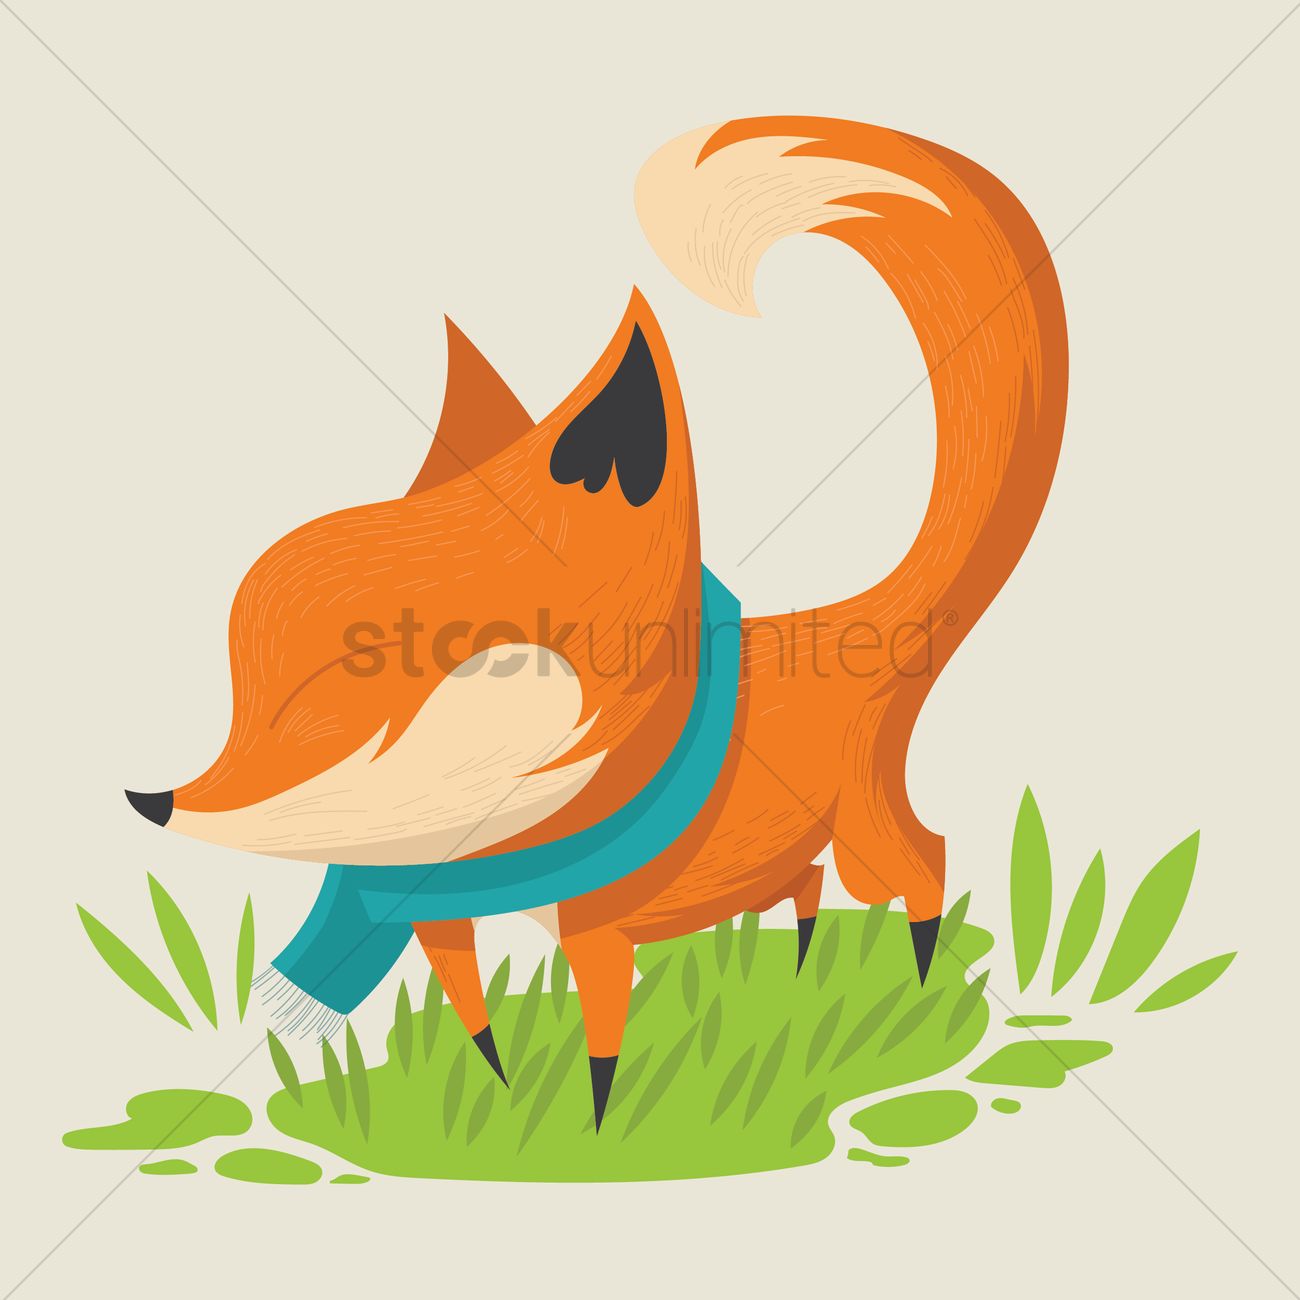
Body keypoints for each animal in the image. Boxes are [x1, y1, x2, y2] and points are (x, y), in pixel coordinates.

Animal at [126, 117, 1067, 1129]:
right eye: (247, 679)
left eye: (353, 670)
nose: (158, 802)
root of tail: (847, 622)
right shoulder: (437, 917)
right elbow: (473, 1022)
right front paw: (499, 1096)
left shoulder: (597, 934)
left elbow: (604, 1052)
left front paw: (595, 1124)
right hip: (805, 859)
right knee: (808, 897)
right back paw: (801, 971)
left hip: (869, 833)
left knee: (926, 872)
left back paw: (918, 983)